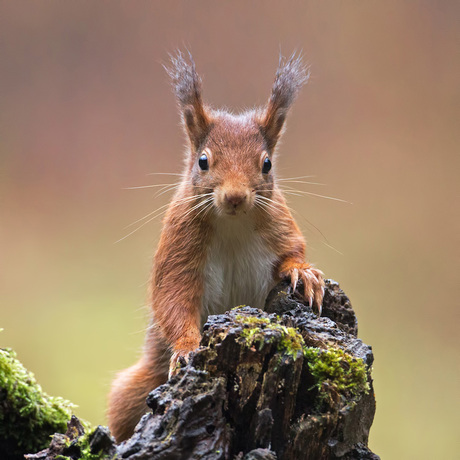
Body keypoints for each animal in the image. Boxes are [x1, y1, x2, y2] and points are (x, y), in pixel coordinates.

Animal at [107, 51, 324, 442]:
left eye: (267, 164)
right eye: (203, 161)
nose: (235, 197)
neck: (233, 223)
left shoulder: (279, 224)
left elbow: (293, 251)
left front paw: (304, 274)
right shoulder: (180, 244)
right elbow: (172, 298)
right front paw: (186, 349)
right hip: (134, 390)